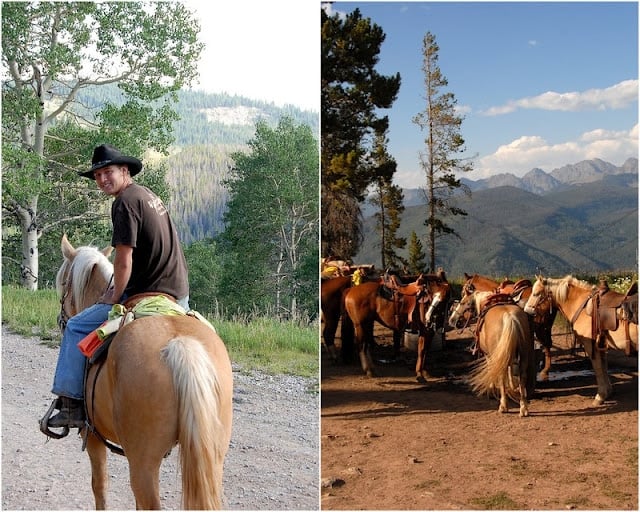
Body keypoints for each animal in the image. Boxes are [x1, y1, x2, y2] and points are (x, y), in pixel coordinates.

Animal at [45, 235, 235, 508]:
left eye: (63, 283)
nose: (62, 319)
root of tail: (180, 345)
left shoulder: (92, 436)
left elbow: (99, 486)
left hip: (143, 462)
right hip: (211, 457)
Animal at [448, 290, 536, 418]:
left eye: (463, 302)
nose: (452, 320)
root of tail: (510, 317)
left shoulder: (489, 355)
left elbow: (492, 370)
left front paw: (491, 389)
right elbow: (510, 370)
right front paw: (512, 387)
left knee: (501, 375)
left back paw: (503, 406)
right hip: (523, 354)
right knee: (522, 376)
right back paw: (523, 408)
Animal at [528, 274, 636, 406]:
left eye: (536, 293)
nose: (527, 311)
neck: (583, 307)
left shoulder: (591, 346)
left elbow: (598, 369)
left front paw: (600, 396)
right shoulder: (601, 346)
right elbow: (604, 367)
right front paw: (608, 392)